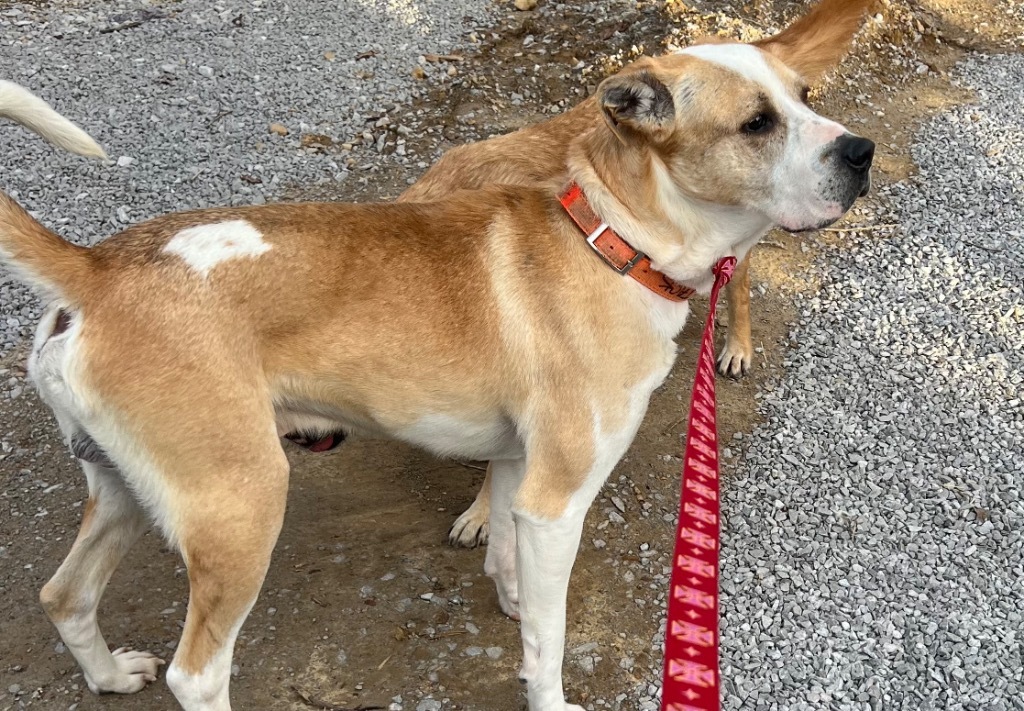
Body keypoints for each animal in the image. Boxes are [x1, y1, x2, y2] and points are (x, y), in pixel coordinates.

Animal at [2, 2, 872, 708]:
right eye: (756, 123)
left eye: (806, 98)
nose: (861, 152)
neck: (612, 239)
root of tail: (97, 266)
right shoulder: (559, 499)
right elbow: (553, 639)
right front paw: (546, 687)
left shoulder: (520, 467)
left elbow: (514, 576)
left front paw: (514, 606)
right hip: (240, 506)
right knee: (197, 672)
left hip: (122, 491)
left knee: (63, 595)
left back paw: (110, 673)